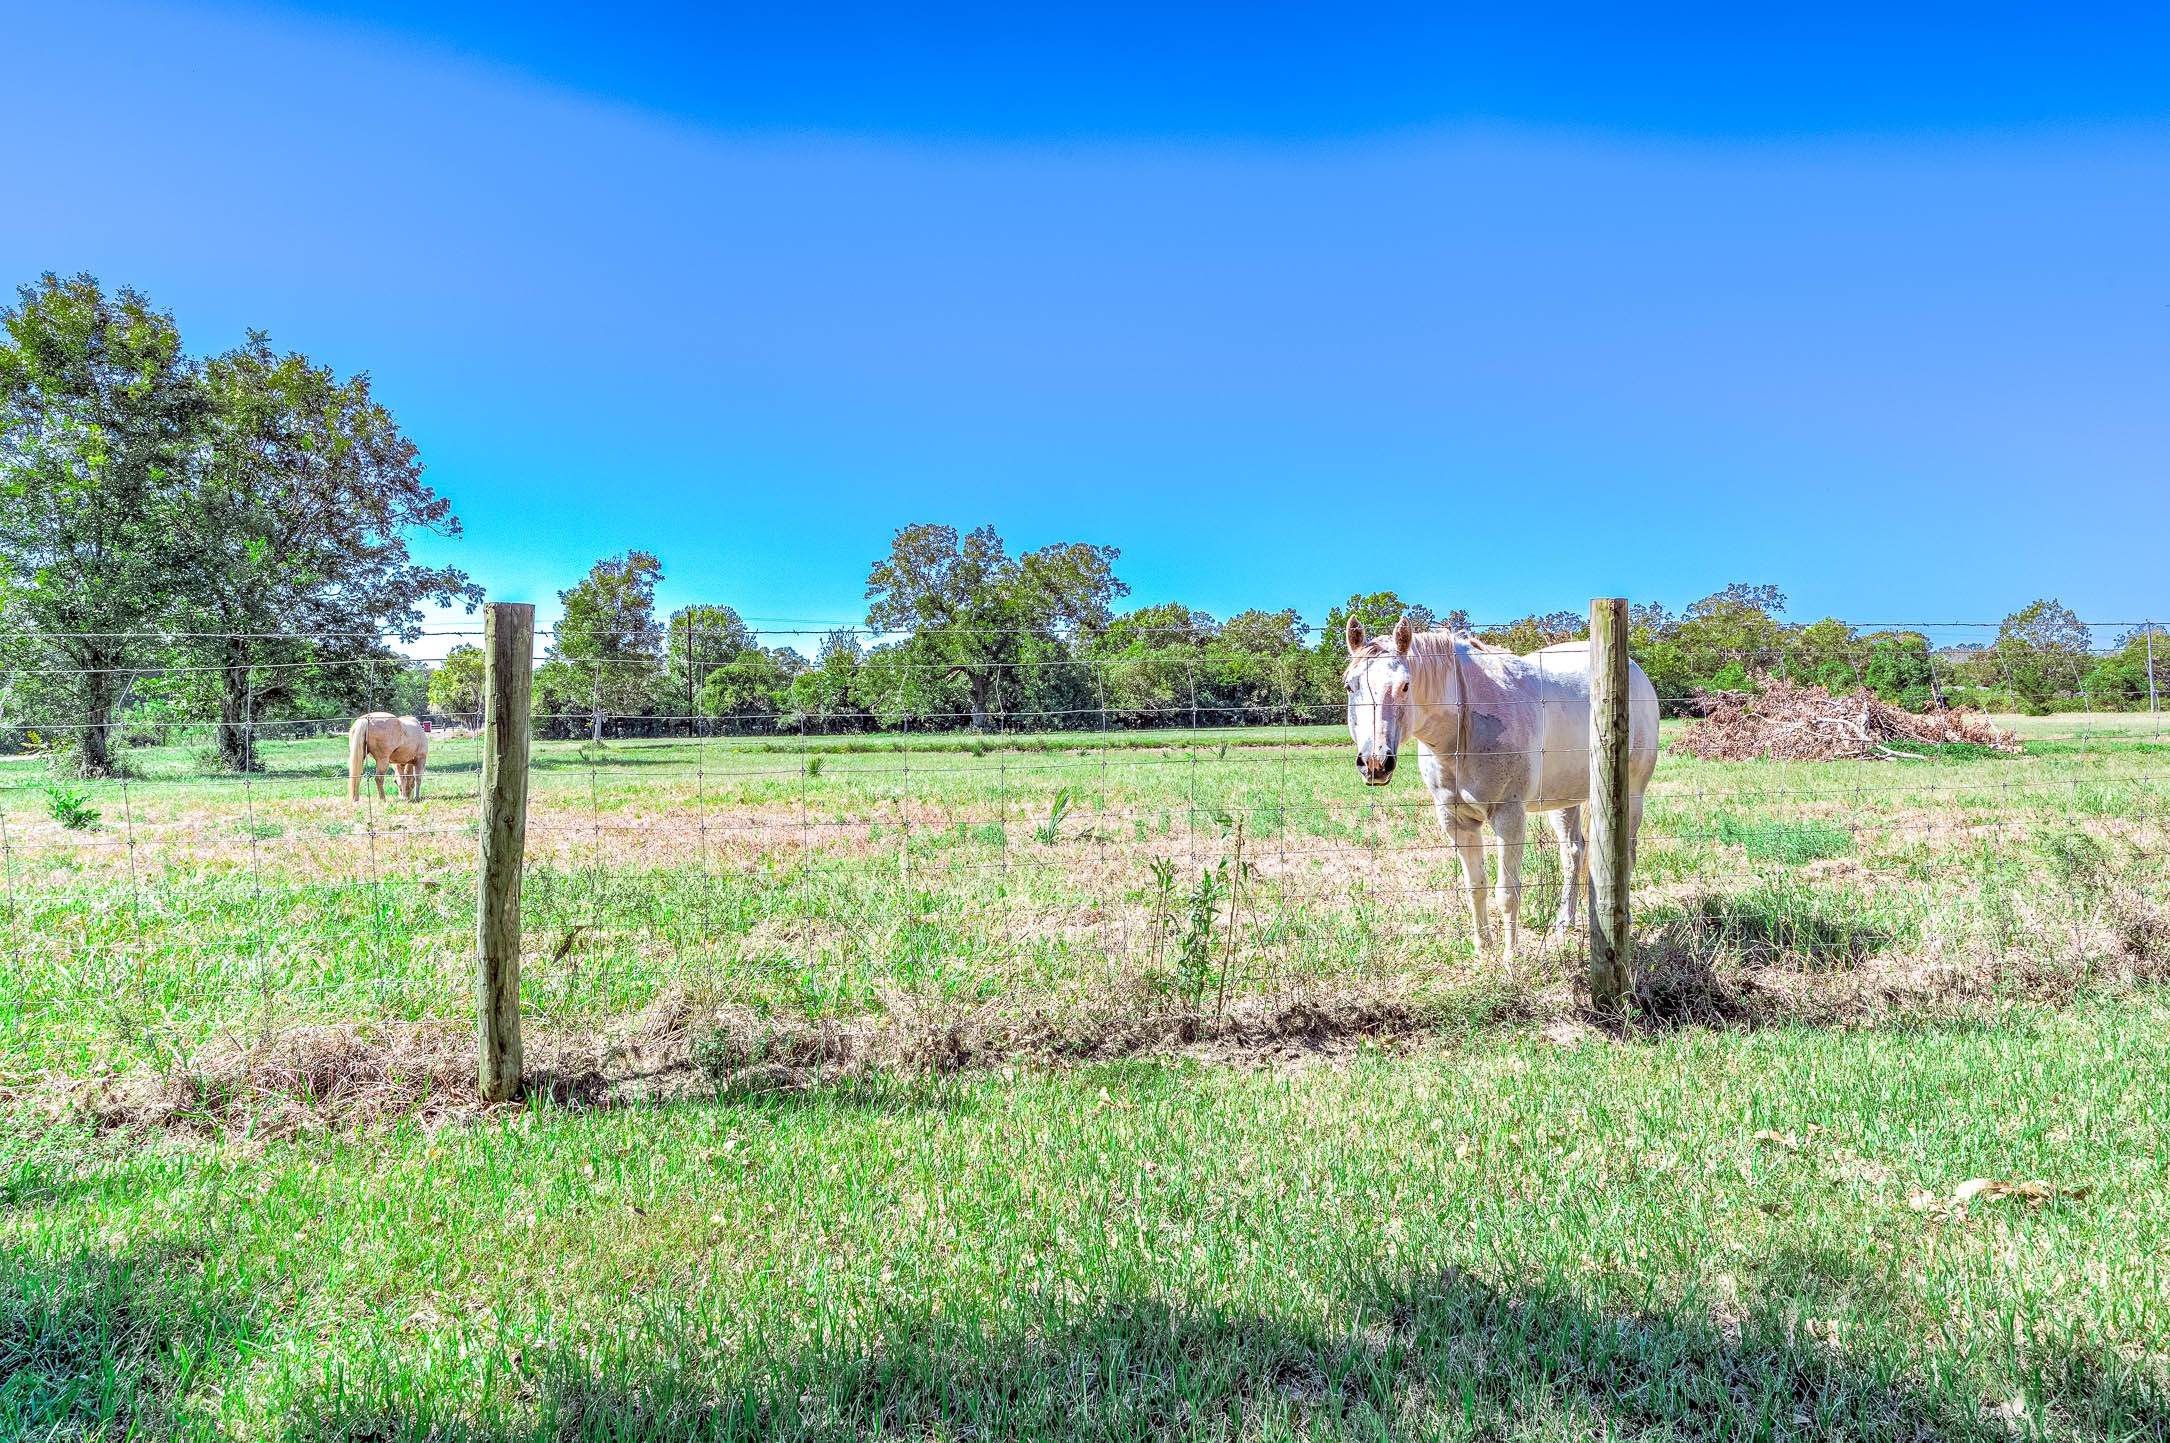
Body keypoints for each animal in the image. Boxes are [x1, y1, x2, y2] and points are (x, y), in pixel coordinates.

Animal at [1343, 616, 1659, 963]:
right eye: (1350, 686)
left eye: (1405, 685)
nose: (1375, 763)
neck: (1465, 724)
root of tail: (1636, 672)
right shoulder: (1457, 822)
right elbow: (1476, 887)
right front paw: (1483, 951)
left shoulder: (1509, 818)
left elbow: (1507, 893)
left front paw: (1510, 958)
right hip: (1564, 800)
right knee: (1574, 855)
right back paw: (1565, 923)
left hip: (1633, 795)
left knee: (1626, 856)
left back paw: (1623, 920)